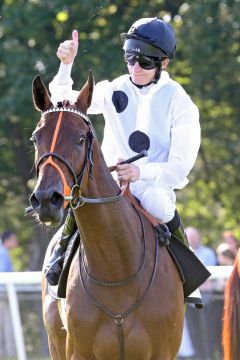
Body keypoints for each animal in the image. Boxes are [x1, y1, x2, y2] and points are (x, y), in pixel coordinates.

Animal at [29, 71, 184, 358]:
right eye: (36, 139)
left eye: (80, 139)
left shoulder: (162, 351)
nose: (46, 199)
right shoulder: (78, 351)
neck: (117, 268)